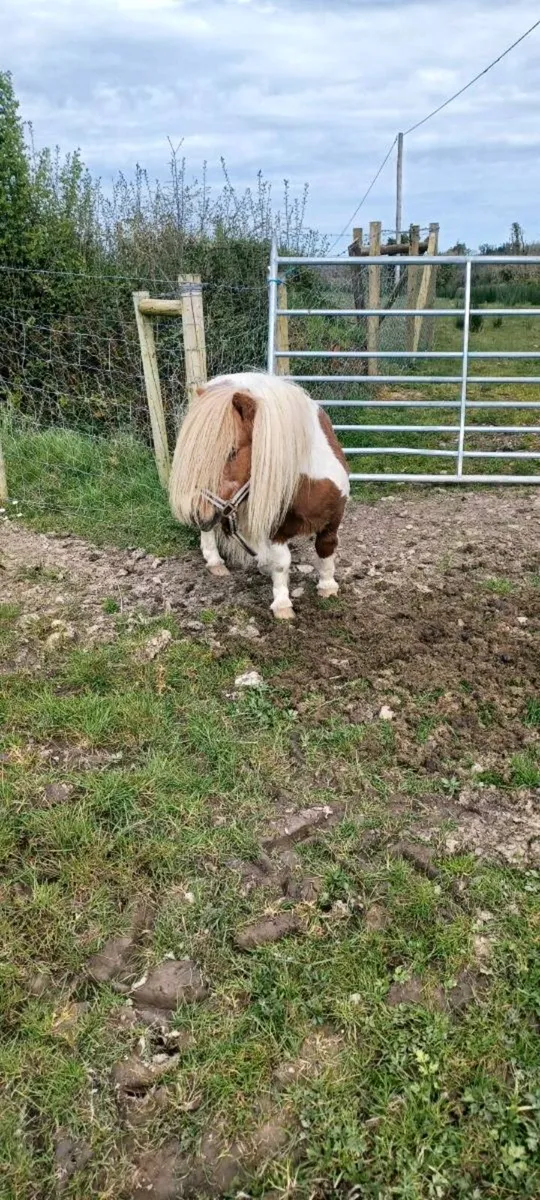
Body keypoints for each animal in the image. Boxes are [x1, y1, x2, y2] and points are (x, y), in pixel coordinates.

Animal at [169, 372, 350, 620]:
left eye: (232, 451)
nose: (195, 513)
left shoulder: (334, 518)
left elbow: (326, 547)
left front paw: (328, 586)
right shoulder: (276, 528)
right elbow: (282, 562)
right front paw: (283, 605)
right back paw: (215, 561)